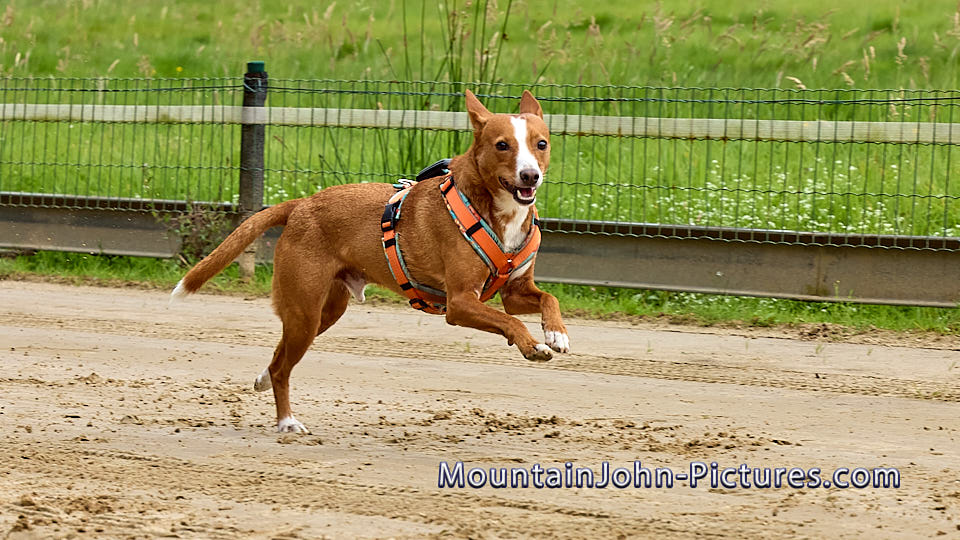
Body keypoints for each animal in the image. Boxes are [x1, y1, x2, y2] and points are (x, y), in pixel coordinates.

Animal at [171, 89, 569, 433]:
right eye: (503, 145)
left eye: (541, 144)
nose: (530, 175)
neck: (494, 210)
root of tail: (301, 204)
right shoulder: (459, 302)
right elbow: (509, 322)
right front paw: (533, 345)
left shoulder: (514, 291)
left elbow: (548, 298)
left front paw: (556, 333)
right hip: (305, 312)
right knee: (284, 368)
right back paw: (287, 421)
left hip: (324, 312)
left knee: (277, 357)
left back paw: (264, 381)